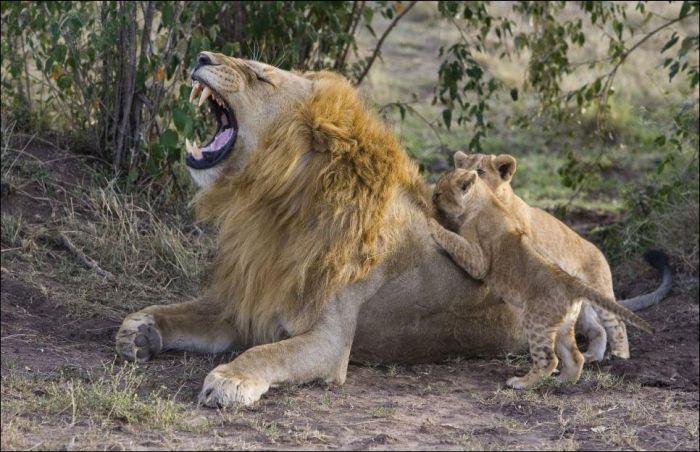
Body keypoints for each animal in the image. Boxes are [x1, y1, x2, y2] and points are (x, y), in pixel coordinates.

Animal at [115, 53, 668, 406]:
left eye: (259, 75)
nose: (203, 53)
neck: (274, 207)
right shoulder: (249, 301)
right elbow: (182, 311)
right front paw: (139, 329)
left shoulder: (330, 341)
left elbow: (267, 351)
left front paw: (230, 379)